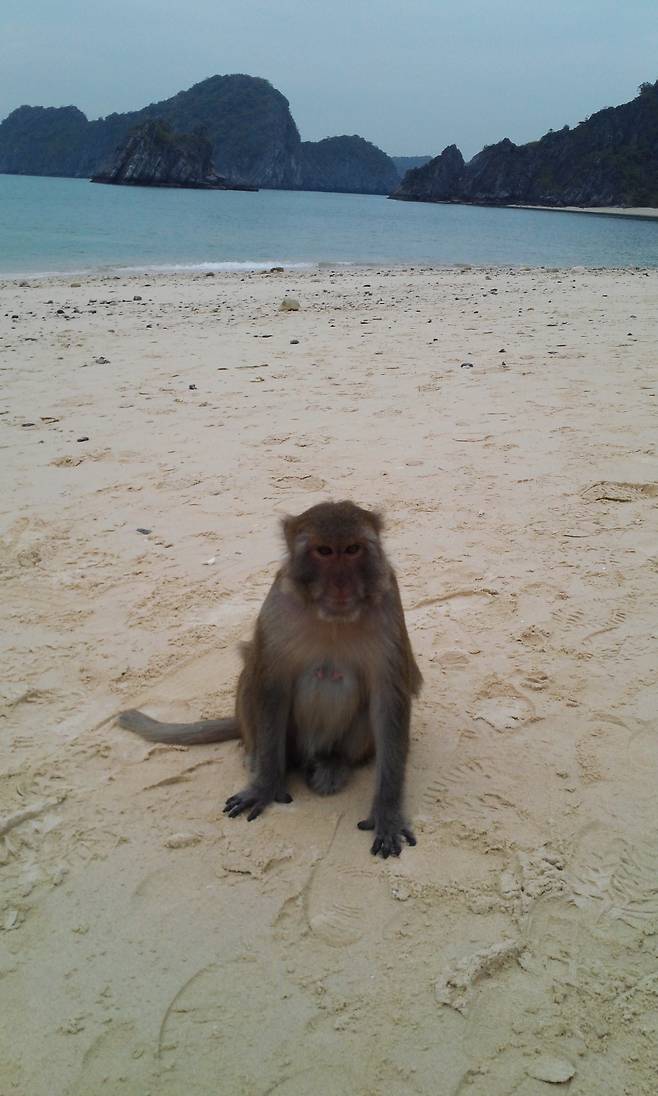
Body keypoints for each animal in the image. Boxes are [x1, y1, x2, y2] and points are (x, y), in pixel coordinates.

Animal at [119, 501, 421, 859]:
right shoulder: (278, 607)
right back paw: (264, 761)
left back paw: (334, 763)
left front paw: (387, 811)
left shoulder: (389, 605)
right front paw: (264, 784)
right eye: (324, 551)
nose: (341, 585)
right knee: (251, 674)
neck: (332, 619)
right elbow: (270, 685)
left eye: (352, 550)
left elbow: (389, 702)